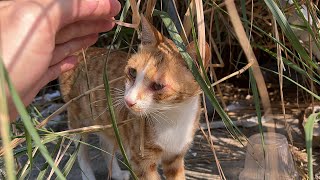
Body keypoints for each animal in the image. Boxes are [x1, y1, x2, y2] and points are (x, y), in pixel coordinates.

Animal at [59, 16, 211, 179]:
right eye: (132, 72)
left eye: (158, 86)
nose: (128, 101)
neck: (172, 117)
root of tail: (85, 50)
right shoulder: (141, 162)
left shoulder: (175, 158)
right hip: (78, 119)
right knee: (81, 152)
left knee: (106, 143)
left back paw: (117, 173)